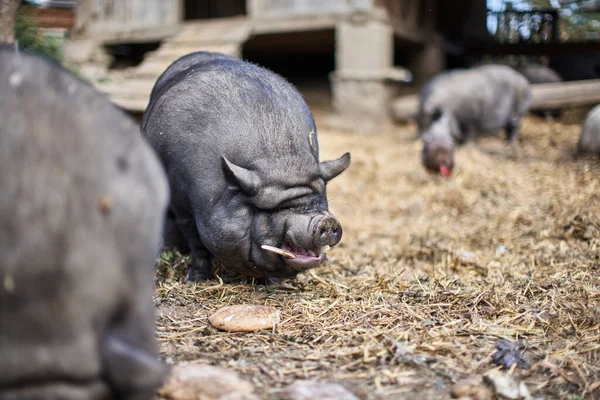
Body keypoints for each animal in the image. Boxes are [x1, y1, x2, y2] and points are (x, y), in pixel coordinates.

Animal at [142, 51, 350, 282]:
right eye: (273, 212)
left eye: (320, 201)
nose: (327, 221)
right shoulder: (182, 205)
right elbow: (197, 244)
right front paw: (195, 279)